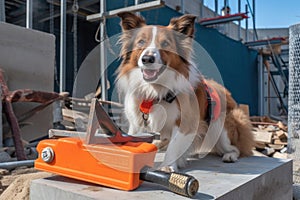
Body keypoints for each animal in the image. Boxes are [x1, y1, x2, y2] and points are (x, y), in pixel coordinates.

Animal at [116, 12, 254, 172]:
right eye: (141, 42)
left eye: (165, 44)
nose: (147, 59)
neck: (155, 90)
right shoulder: (136, 123)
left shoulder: (186, 122)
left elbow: (174, 146)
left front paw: (168, 167)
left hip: (220, 129)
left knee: (237, 149)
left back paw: (230, 156)